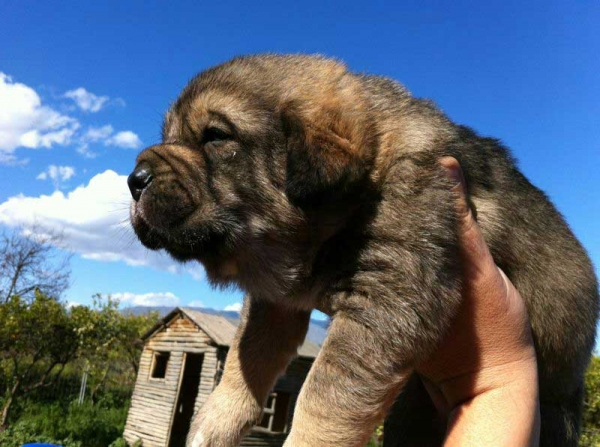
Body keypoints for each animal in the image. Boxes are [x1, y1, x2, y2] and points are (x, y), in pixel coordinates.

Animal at [126, 54, 596, 446]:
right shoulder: (275, 305)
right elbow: (247, 361)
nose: (134, 179)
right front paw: (213, 424)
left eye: (216, 137)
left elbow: (324, 396)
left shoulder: (386, 296)